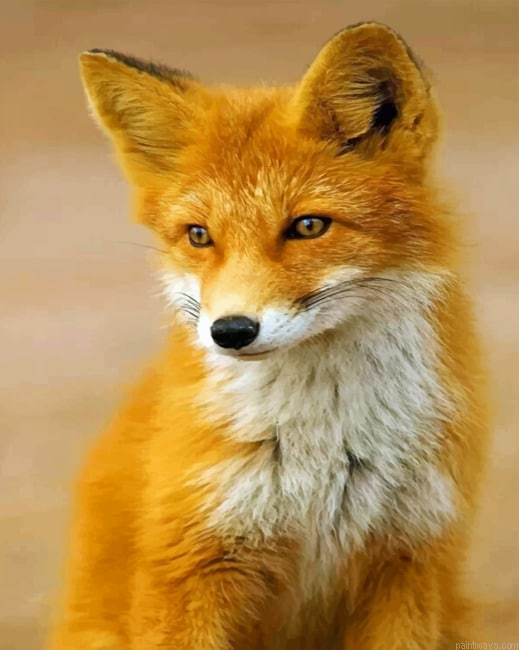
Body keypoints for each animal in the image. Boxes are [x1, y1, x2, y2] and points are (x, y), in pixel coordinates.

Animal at [48, 22, 489, 650]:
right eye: (199, 235)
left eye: (308, 226)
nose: (230, 332)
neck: (321, 453)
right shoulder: (193, 562)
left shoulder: (411, 560)